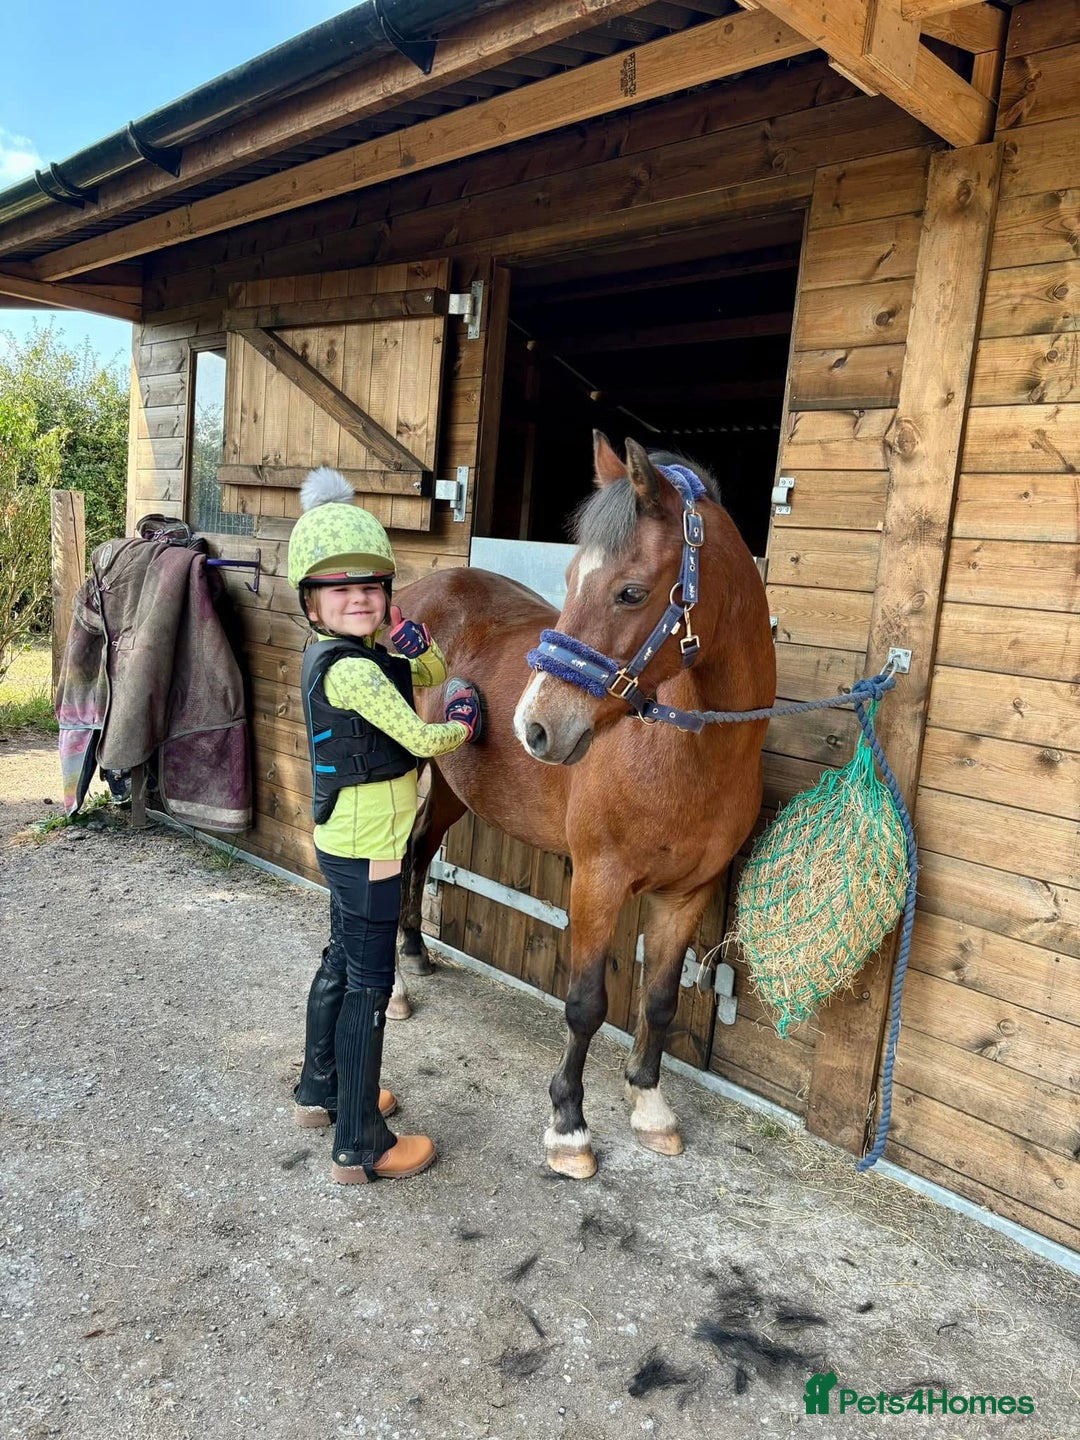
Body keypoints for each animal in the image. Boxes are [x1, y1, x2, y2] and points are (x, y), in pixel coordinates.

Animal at [392, 433, 775, 1178]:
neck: (684, 752)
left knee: (419, 853)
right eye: (569, 580)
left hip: (450, 785)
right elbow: (587, 1005)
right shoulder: (598, 880)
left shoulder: (686, 894)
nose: (536, 728)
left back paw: (416, 954)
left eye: (630, 592)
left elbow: (659, 1001)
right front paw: (568, 1124)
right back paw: (393, 991)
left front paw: (650, 1106)